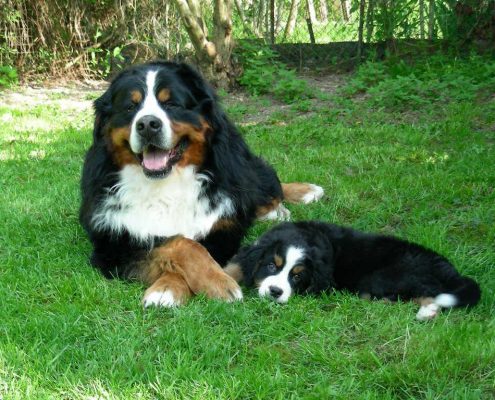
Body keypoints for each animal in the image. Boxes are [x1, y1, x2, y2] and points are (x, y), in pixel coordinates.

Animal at [79, 61, 324, 306]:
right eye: (130, 107)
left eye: (171, 104)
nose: (147, 124)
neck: (167, 184)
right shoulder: (114, 245)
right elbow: (177, 243)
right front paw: (170, 288)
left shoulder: (221, 232)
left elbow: (192, 245)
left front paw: (213, 282)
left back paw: (303, 193)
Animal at [227, 220, 482, 320]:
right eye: (271, 265)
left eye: (297, 277)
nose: (275, 292)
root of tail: (447, 268)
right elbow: (235, 265)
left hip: (382, 278)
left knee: (423, 293)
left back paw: (426, 311)